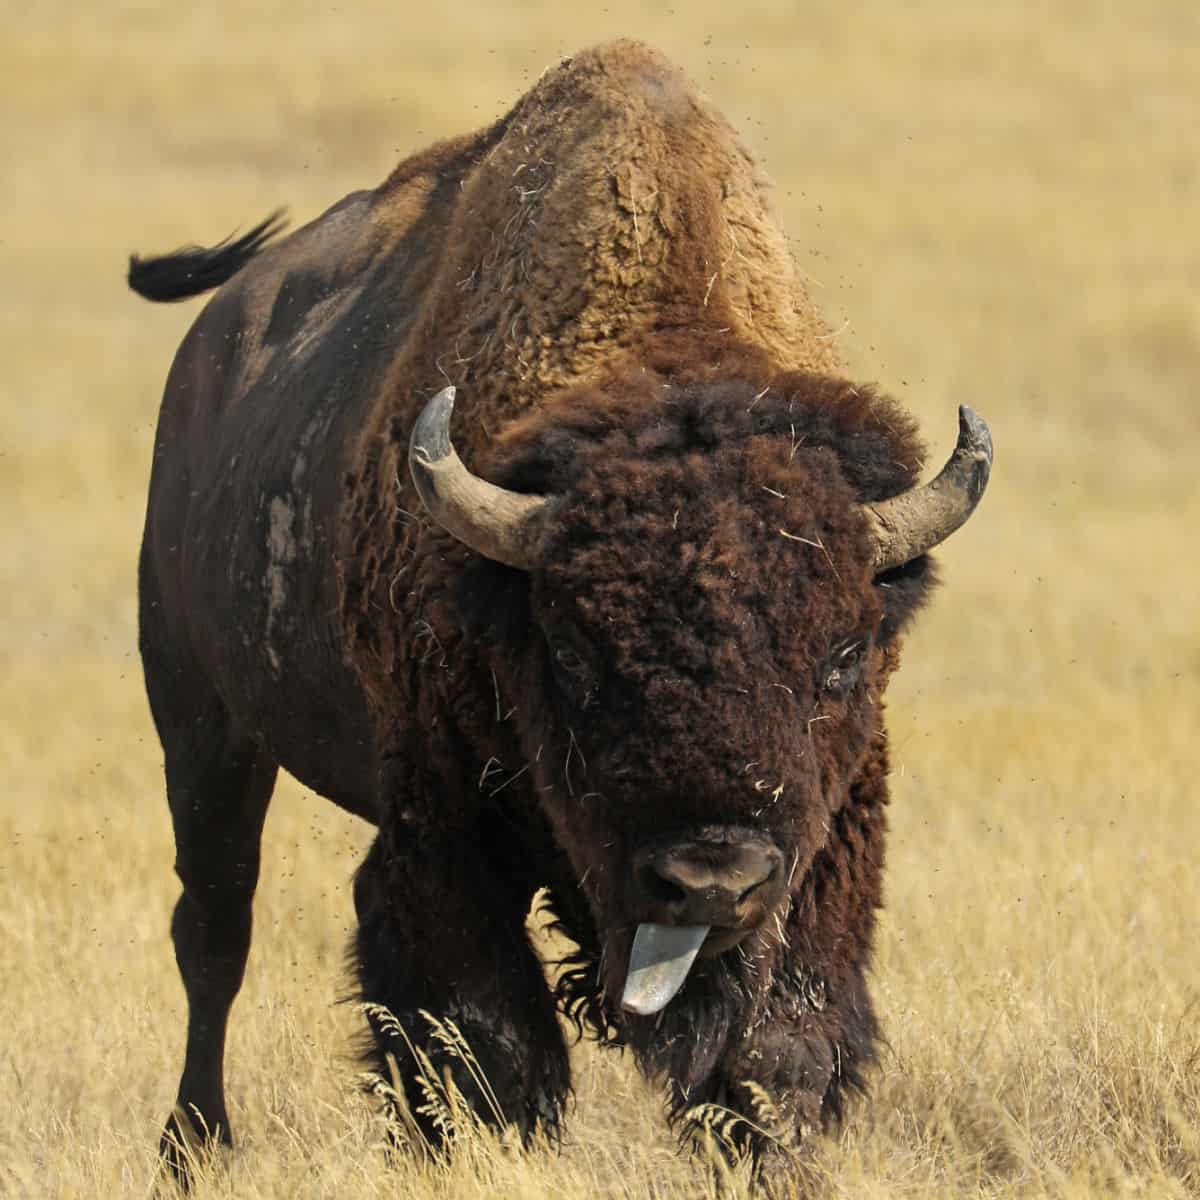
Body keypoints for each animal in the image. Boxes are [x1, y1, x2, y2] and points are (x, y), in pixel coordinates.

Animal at [129, 39, 993, 1180]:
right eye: (574, 656)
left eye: (843, 656)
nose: (710, 879)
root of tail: (209, 350)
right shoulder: (443, 818)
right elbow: (488, 1039)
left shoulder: (831, 833)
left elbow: (780, 1044)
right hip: (203, 725)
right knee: (214, 932)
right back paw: (193, 1144)